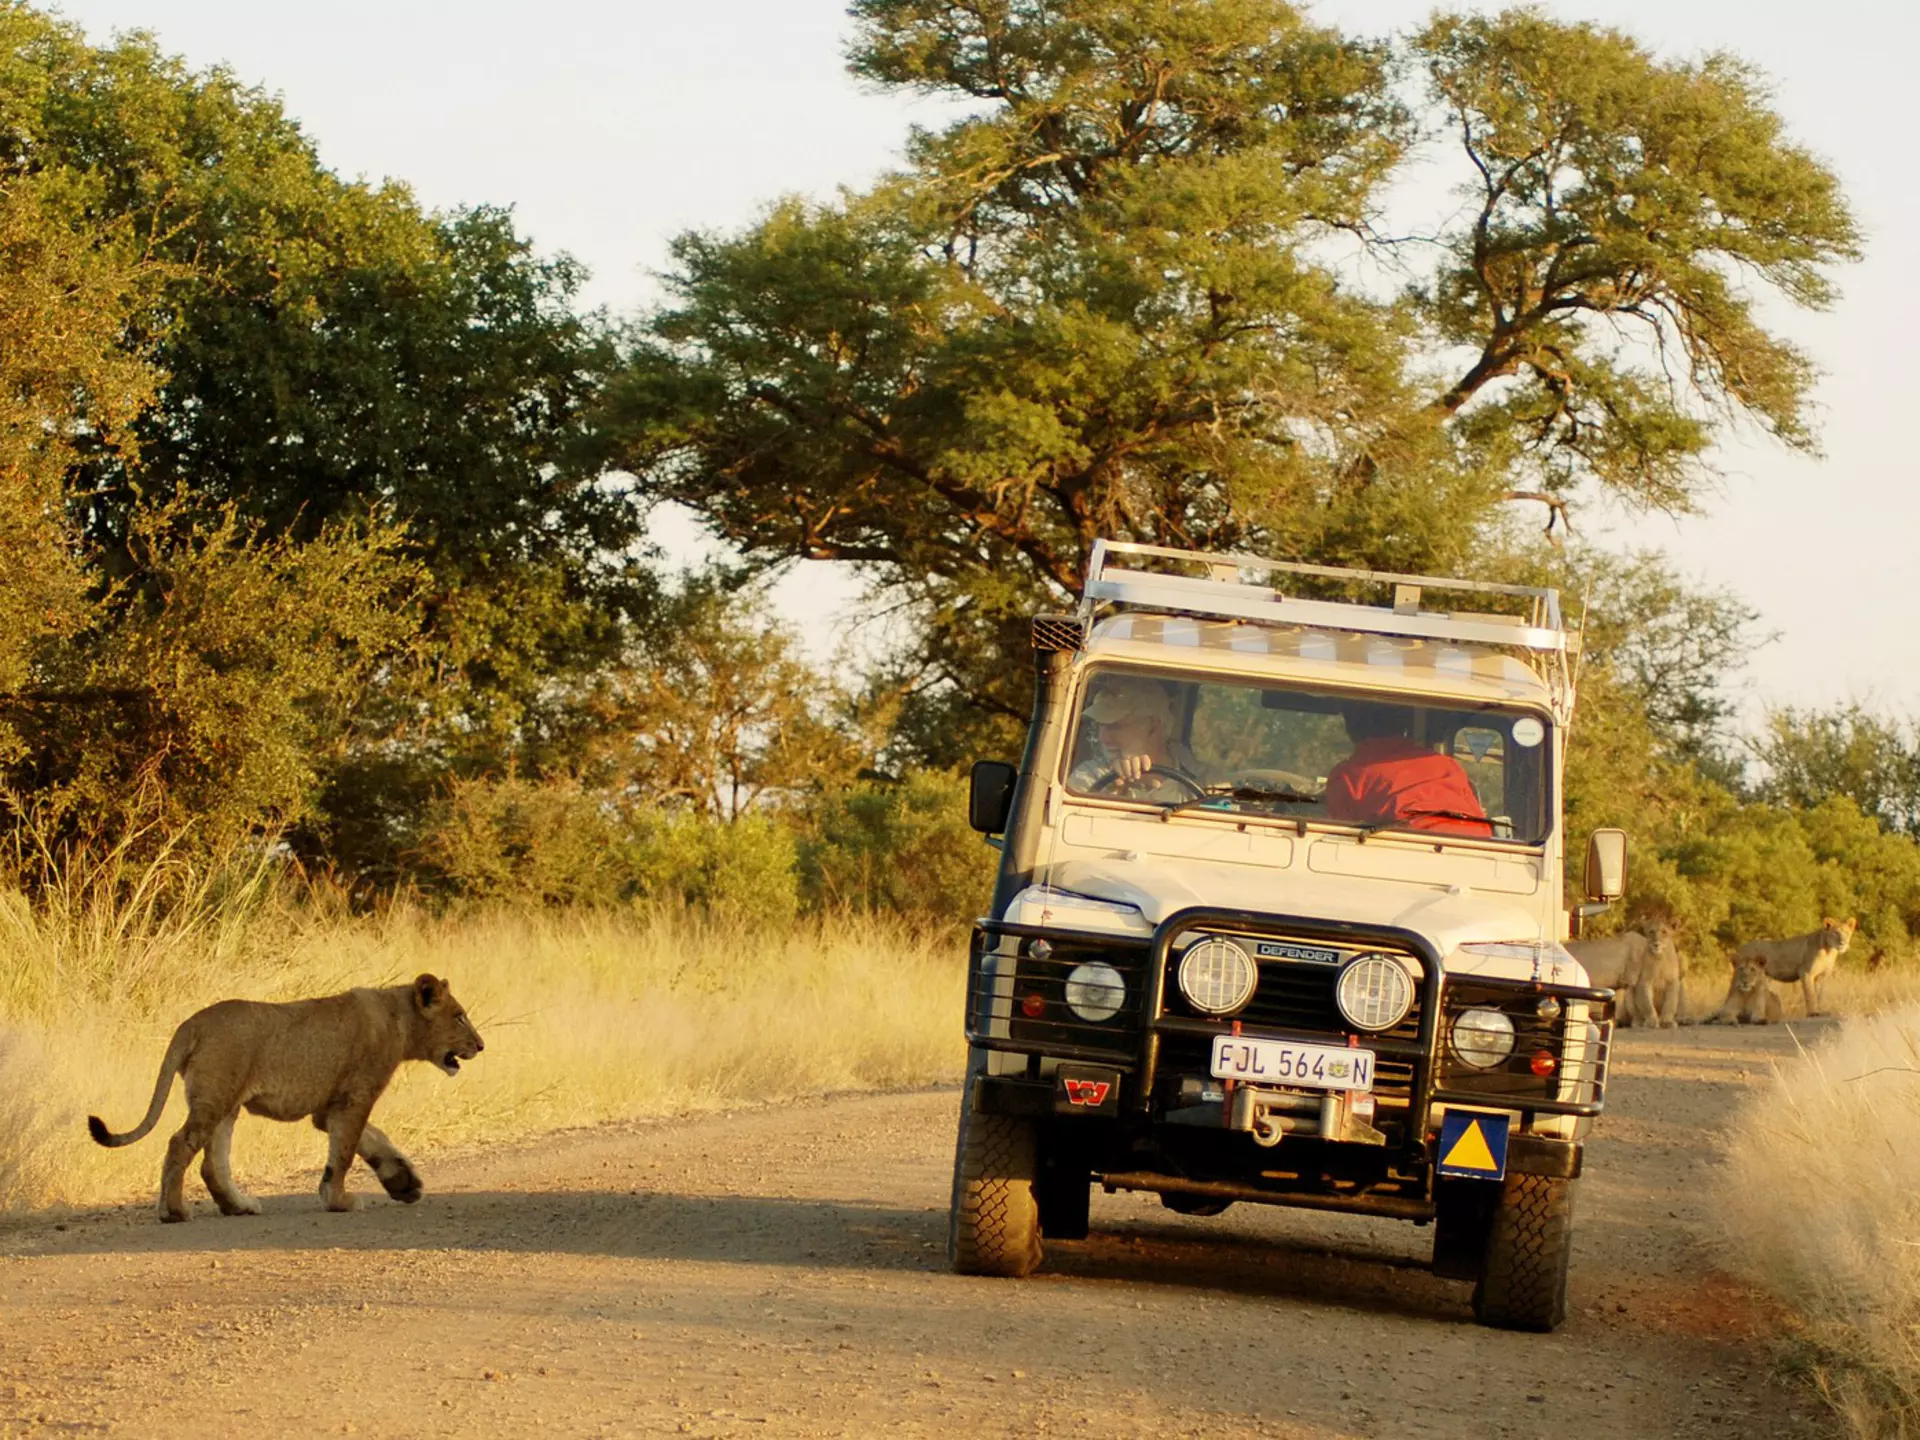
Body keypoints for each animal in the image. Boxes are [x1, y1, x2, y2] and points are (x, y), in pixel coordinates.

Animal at [88, 974, 484, 1223]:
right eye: (459, 1016)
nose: (480, 1046)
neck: (399, 1018)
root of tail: (191, 1023)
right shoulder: (353, 1098)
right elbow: (344, 1153)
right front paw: (339, 1200)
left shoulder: (330, 1107)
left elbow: (372, 1139)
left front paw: (404, 1183)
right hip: (216, 1097)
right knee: (180, 1144)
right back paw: (173, 1212)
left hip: (227, 1104)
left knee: (212, 1163)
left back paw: (238, 1206)